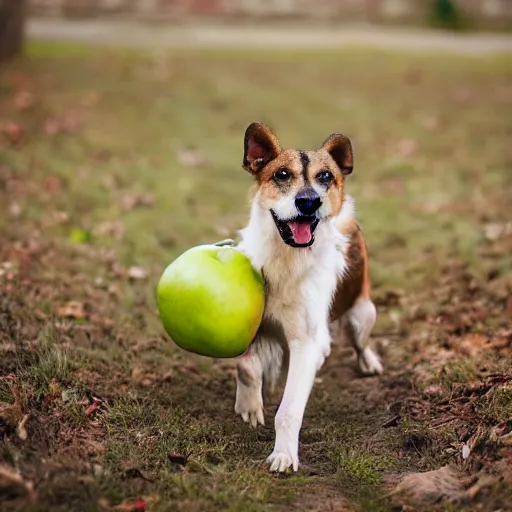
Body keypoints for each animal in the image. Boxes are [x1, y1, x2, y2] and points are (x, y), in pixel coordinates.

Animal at [233, 121, 384, 472]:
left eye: (325, 176)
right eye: (282, 174)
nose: (309, 202)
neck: (287, 258)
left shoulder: (306, 341)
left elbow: (289, 410)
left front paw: (284, 455)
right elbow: (246, 365)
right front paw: (249, 404)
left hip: (363, 314)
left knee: (359, 341)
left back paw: (368, 360)